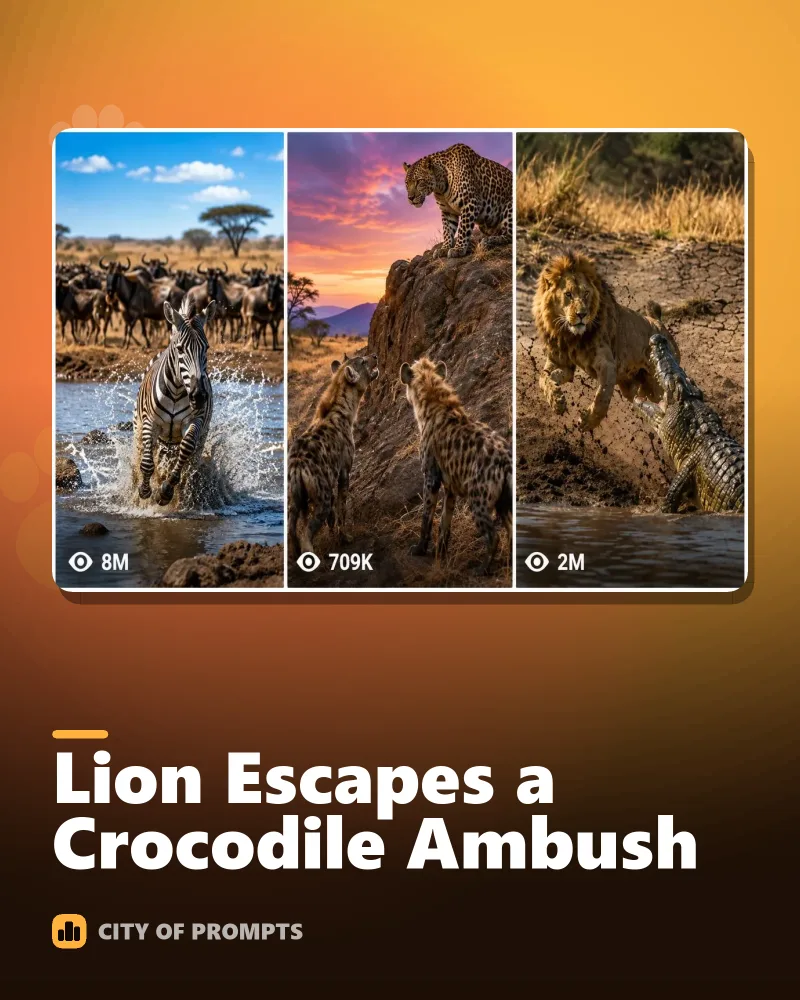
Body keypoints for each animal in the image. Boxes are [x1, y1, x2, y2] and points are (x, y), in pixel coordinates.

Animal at [533, 251, 680, 430]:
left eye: (586, 293)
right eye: (568, 294)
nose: (582, 314)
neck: (570, 336)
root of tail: (660, 324)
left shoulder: (607, 364)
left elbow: (602, 396)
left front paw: (588, 421)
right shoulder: (561, 363)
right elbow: (543, 378)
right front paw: (556, 400)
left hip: (658, 381)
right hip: (631, 386)